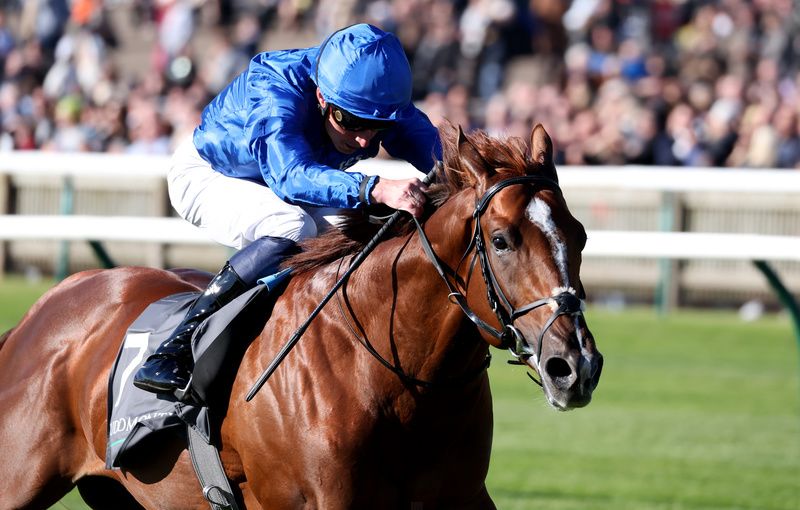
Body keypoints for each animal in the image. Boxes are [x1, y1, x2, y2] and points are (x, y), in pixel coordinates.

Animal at [0, 123, 600, 510]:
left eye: (580, 235)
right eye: (501, 240)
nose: (574, 366)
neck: (397, 378)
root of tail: (40, 311)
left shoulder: (462, 496)